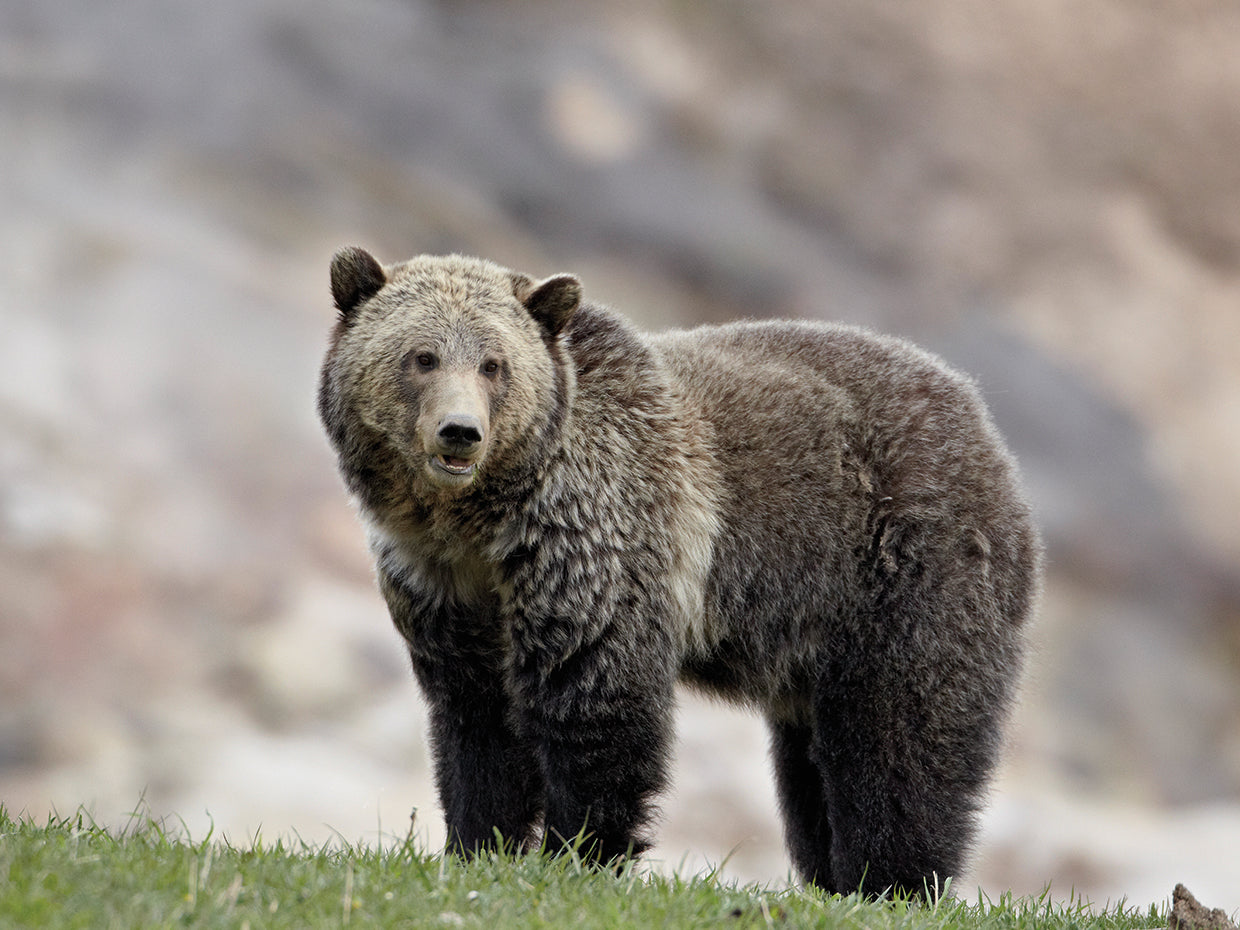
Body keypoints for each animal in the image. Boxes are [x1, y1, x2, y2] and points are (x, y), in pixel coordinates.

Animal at [317, 247, 1041, 898]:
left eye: (494, 364)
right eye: (422, 356)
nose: (460, 432)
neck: (484, 523)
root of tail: (982, 422)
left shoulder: (594, 544)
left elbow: (598, 706)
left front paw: (579, 853)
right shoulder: (446, 588)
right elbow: (477, 720)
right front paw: (477, 846)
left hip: (903, 571)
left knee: (901, 741)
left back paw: (889, 880)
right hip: (814, 639)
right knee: (810, 764)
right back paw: (833, 877)